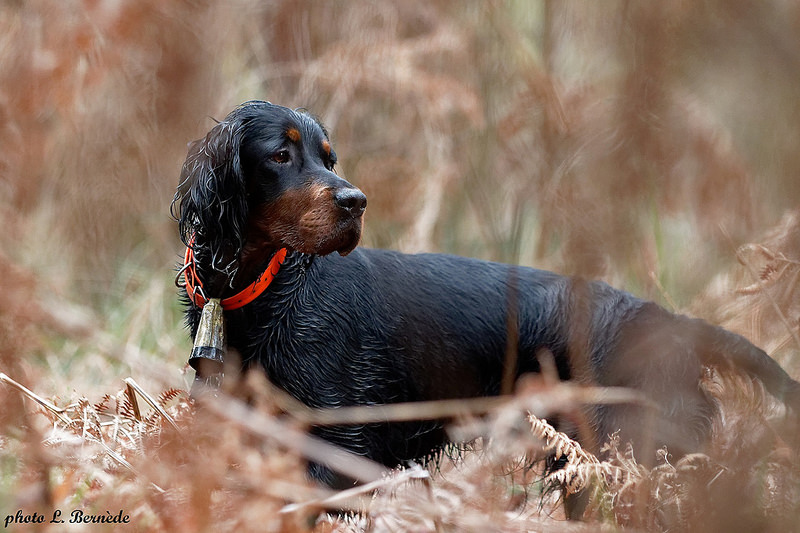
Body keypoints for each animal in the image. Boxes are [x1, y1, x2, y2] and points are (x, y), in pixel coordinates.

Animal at [173, 100, 800, 486]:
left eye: (329, 158)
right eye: (281, 155)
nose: (355, 201)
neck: (271, 288)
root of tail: (672, 325)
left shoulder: (338, 443)